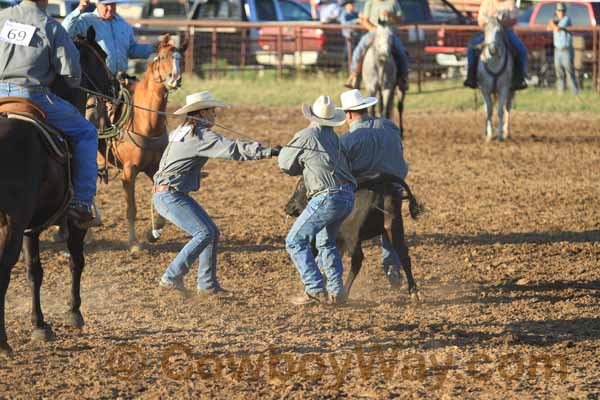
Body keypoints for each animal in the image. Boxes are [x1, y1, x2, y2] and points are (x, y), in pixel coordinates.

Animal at [0, 27, 116, 354]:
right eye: (101, 56)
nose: (115, 87)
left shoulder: (31, 228)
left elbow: (34, 273)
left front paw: (39, 324)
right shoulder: (72, 221)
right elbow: (77, 260)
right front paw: (74, 311)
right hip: (11, 225)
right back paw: (3, 342)